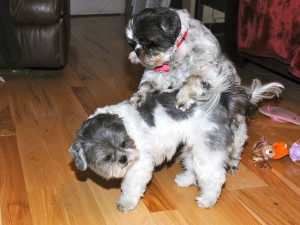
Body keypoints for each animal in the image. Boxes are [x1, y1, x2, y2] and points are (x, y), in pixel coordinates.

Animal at [69, 78, 282, 211]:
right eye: (106, 158)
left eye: (123, 142)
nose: (123, 159)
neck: (124, 126)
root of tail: (222, 99)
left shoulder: (139, 164)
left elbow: (131, 186)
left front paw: (127, 202)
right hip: (193, 146)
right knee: (194, 166)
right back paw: (186, 180)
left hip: (207, 148)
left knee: (214, 177)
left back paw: (207, 199)